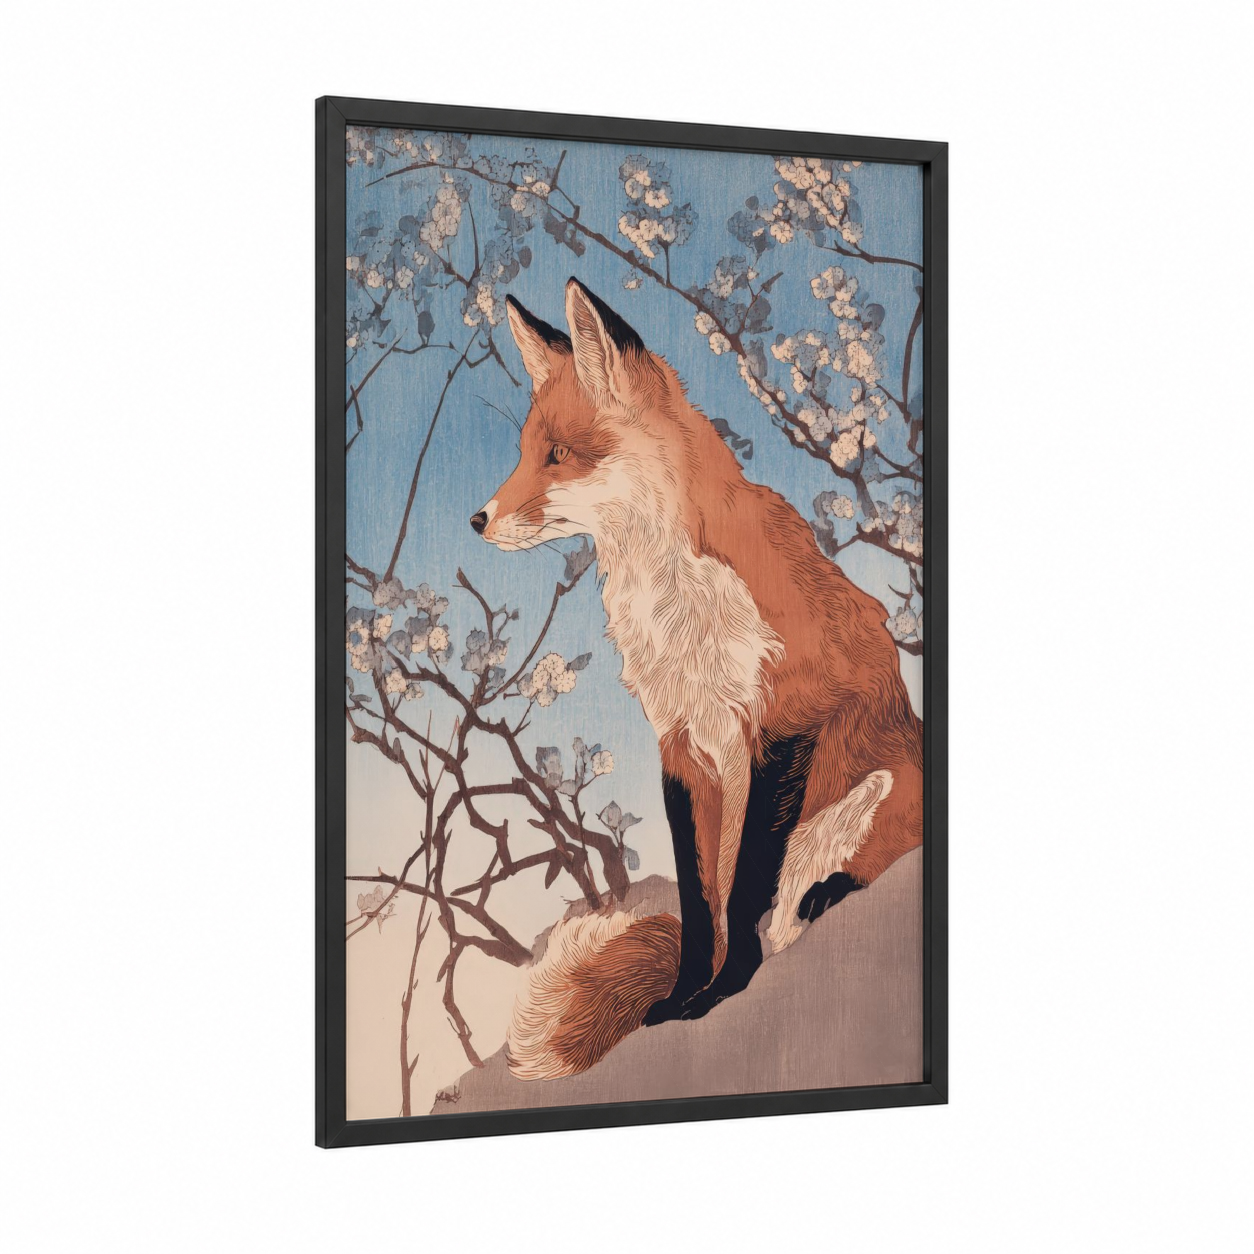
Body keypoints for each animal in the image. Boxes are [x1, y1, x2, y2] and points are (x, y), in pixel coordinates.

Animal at [472, 278, 923, 1079]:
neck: (677, 605)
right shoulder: (681, 745)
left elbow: (741, 893)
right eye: (525, 453)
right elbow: (698, 899)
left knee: (819, 890)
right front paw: (681, 1000)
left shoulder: (787, 722)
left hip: (872, 796)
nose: (478, 518)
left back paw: (818, 908)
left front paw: (725, 991)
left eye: (557, 455)